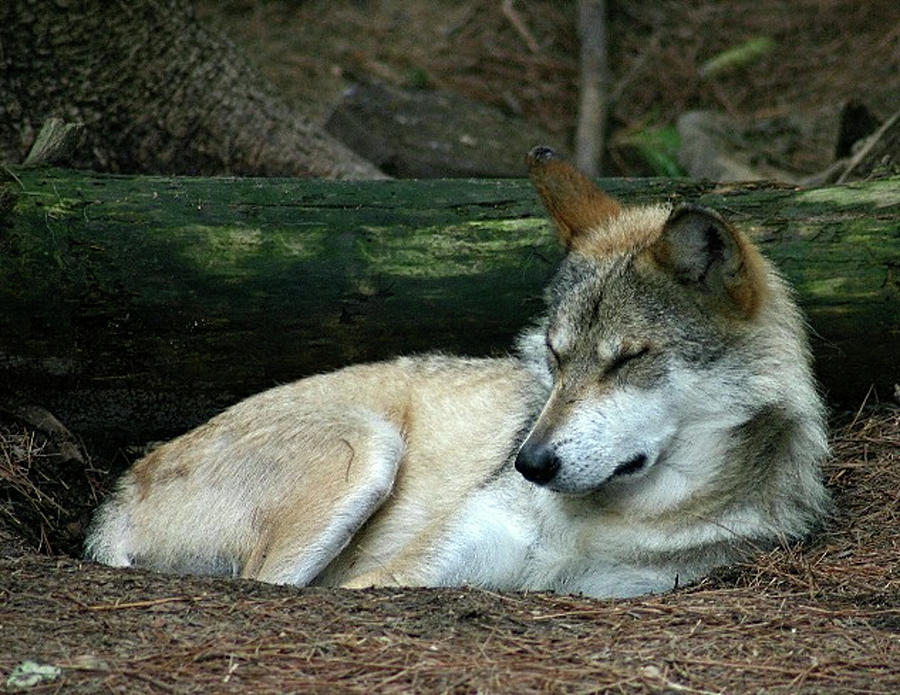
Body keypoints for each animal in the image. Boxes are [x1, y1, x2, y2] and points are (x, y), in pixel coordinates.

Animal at [84, 145, 828, 600]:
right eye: (555, 355)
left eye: (628, 358)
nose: (529, 462)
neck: (600, 519)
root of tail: (117, 496)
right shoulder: (409, 570)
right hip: (367, 449)